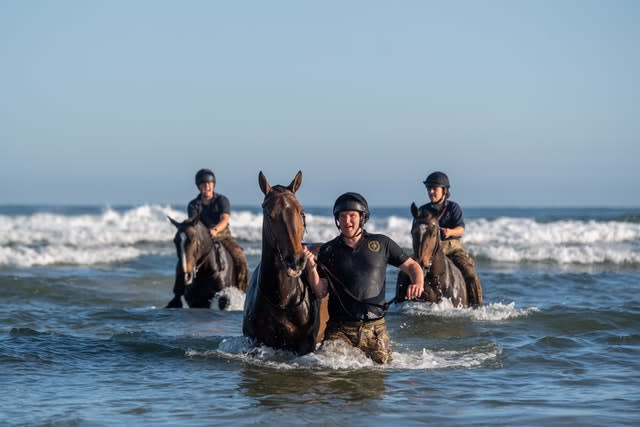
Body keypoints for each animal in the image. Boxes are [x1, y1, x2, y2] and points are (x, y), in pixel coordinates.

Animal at [242, 171, 328, 354]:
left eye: (301, 212)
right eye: (269, 215)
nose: (296, 260)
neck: (282, 299)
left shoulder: (305, 346)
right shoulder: (255, 341)